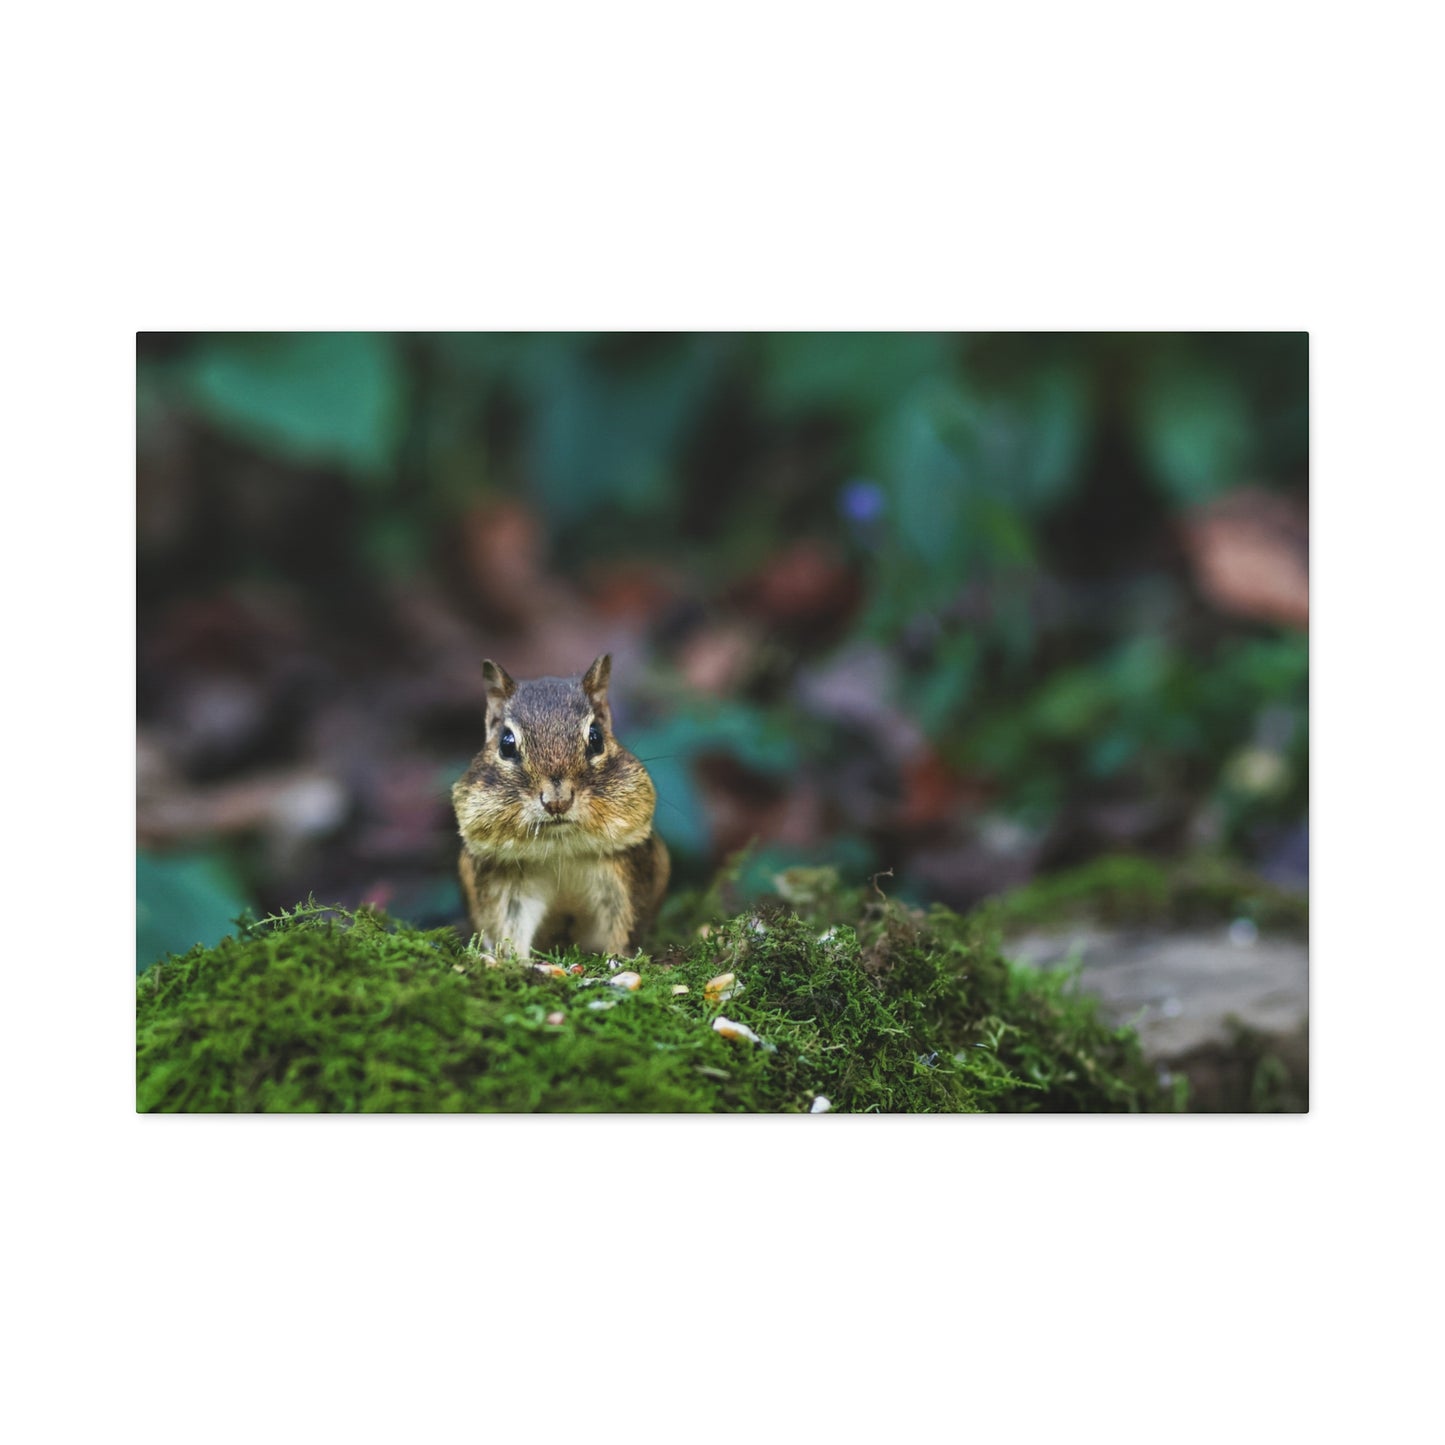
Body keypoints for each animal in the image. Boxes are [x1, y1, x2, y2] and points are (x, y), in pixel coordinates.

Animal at [452, 654, 670, 960]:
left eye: (596, 738)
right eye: (506, 744)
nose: (557, 801)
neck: (560, 850)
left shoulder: (625, 873)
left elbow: (624, 924)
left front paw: (617, 959)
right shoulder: (505, 884)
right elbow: (510, 928)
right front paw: (515, 962)